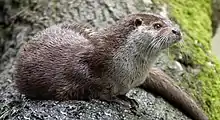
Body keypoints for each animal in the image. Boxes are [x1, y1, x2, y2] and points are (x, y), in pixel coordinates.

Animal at [15, 13, 208, 120]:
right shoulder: (88, 70)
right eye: (158, 25)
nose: (177, 31)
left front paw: (127, 98)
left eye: (171, 22)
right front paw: (118, 100)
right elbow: (95, 90)